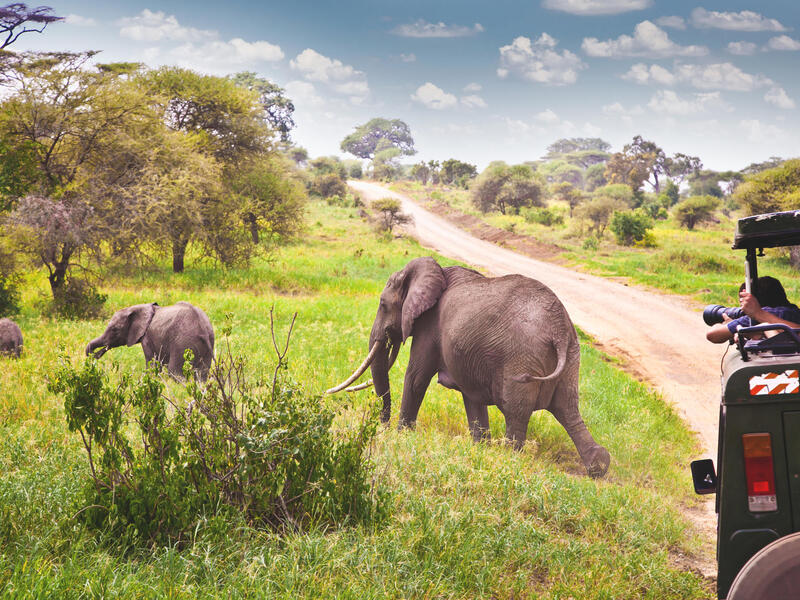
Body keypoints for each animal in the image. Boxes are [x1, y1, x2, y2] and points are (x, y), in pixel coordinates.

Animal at [86, 302, 214, 382]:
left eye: (114, 330)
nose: (94, 356)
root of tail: (203, 330)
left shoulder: (147, 338)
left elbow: (152, 364)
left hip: (183, 343)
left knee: (174, 372)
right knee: (202, 374)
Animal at [328, 256, 608, 478]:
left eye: (383, 305)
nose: (382, 428)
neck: (435, 271)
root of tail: (558, 328)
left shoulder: (430, 326)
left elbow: (416, 378)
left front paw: (401, 436)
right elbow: (471, 398)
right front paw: (480, 448)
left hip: (522, 358)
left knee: (517, 411)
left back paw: (508, 459)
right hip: (571, 355)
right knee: (568, 409)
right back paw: (599, 466)